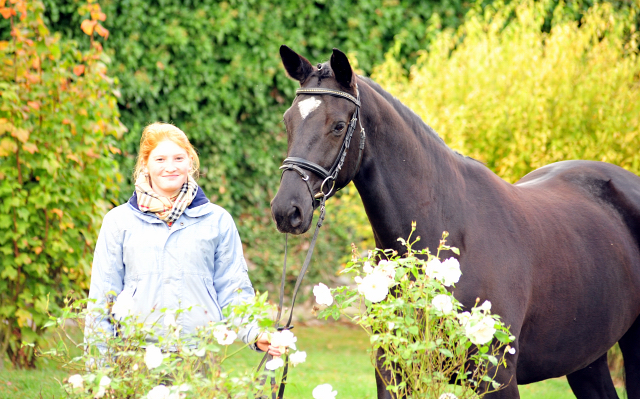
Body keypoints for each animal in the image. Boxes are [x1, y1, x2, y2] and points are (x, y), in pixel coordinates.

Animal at [270, 45, 640, 398]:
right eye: (287, 121)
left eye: (337, 125)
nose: (287, 210)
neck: (446, 231)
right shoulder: (393, 370)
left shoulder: (496, 377)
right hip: (586, 357)